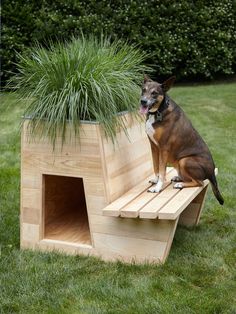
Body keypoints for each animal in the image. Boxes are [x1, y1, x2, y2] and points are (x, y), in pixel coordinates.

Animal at [139, 75, 224, 205]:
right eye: (143, 90)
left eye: (154, 93)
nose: (143, 101)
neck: (159, 111)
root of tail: (212, 173)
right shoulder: (153, 146)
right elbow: (156, 166)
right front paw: (156, 180)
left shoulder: (163, 148)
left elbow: (162, 169)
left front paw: (157, 188)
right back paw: (178, 178)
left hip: (185, 160)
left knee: (200, 182)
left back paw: (181, 184)